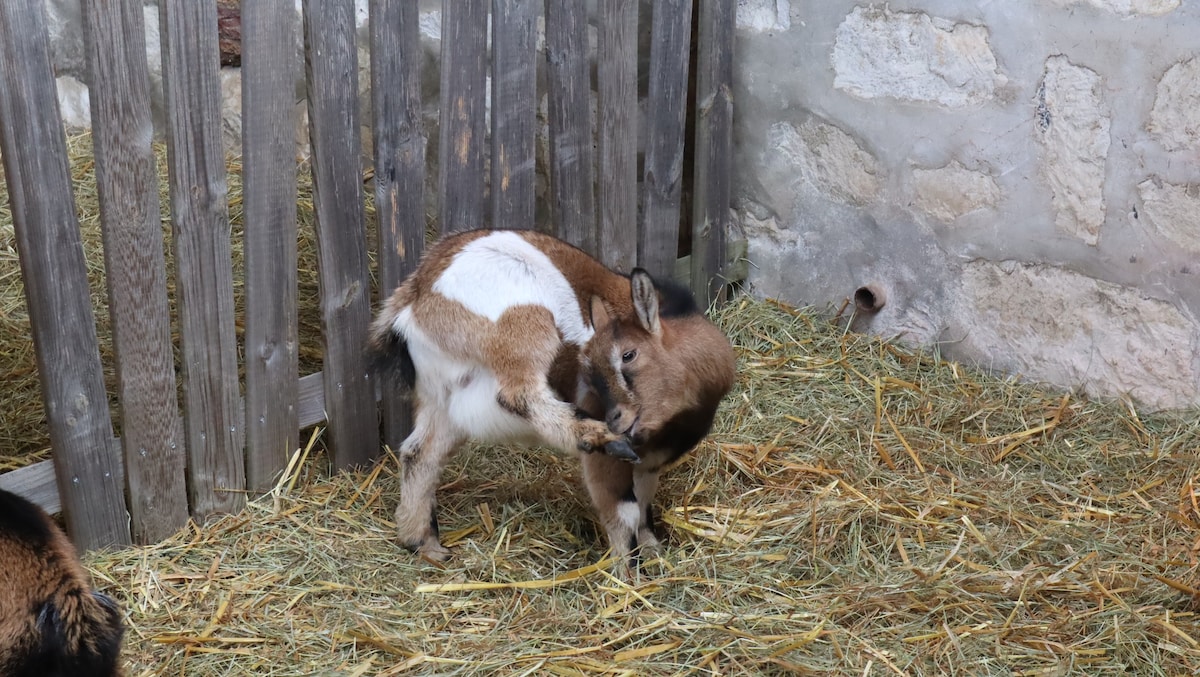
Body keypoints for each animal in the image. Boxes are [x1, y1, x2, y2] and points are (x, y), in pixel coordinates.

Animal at [369, 231, 734, 566]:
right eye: (590, 366)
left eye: (628, 355)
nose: (616, 420)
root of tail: (416, 295)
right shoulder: (611, 457)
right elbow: (624, 510)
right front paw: (625, 576)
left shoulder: (650, 461)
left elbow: (644, 503)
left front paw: (653, 551)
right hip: (523, 327)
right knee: (516, 394)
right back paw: (594, 435)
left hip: (441, 398)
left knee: (419, 453)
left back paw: (423, 543)